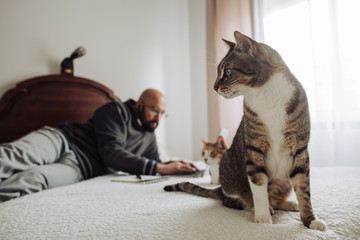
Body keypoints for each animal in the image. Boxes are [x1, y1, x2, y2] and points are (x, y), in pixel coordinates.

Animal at [165, 31, 328, 231]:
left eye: (227, 71)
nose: (214, 87)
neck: (267, 96)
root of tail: (220, 189)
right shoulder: (254, 149)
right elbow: (258, 185)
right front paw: (263, 217)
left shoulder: (300, 149)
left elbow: (304, 188)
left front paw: (310, 220)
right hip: (228, 169)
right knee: (235, 201)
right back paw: (264, 207)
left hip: (284, 181)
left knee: (280, 195)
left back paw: (288, 204)